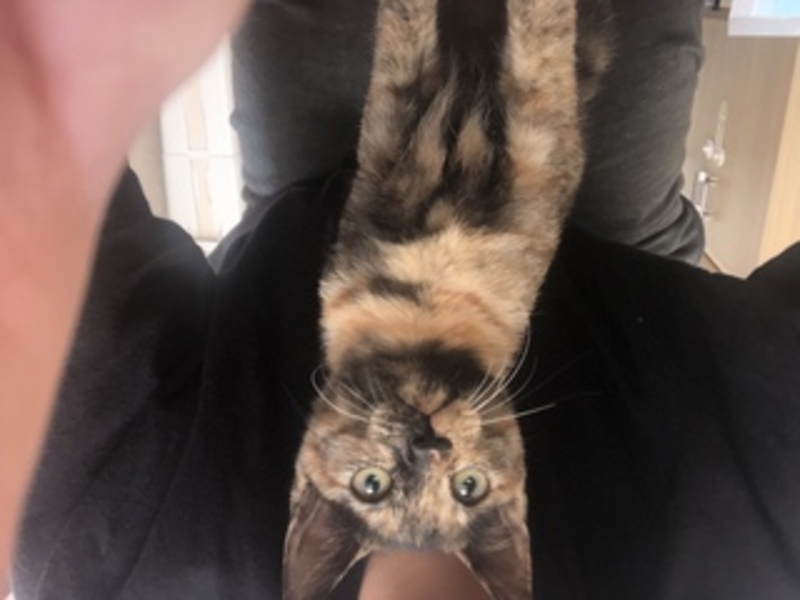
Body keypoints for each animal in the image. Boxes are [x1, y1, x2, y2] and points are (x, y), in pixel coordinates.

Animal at [284, 1, 612, 599]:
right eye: (372, 485)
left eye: (469, 486)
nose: (427, 443)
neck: (427, 313)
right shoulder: (414, 119)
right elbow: (420, 35)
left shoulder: (520, 128)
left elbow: (530, 40)